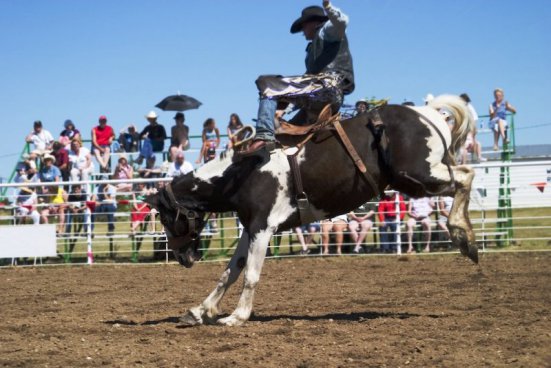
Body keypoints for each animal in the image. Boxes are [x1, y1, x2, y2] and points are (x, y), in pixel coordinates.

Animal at [147, 94, 478, 324]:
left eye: (165, 216)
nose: (182, 257)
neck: (241, 172)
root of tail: (429, 111)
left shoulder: (263, 227)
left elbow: (250, 273)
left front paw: (236, 317)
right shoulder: (251, 227)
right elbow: (231, 270)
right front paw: (200, 311)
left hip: (420, 176)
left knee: (465, 176)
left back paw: (464, 238)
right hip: (415, 179)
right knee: (463, 177)